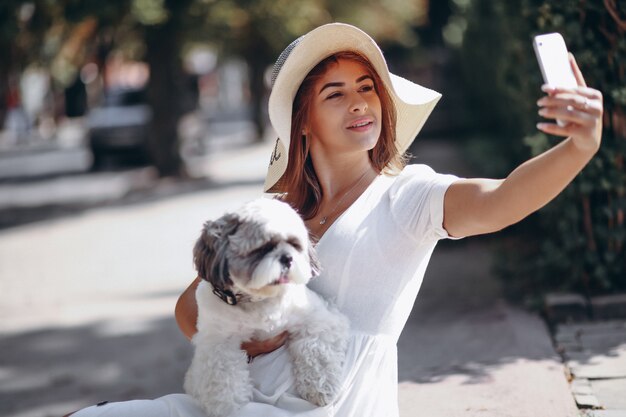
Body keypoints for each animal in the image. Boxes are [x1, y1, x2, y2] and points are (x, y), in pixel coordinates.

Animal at [184, 197, 352, 416]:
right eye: (262, 248)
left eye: (294, 244)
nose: (287, 258)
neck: (259, 300)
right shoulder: (217, 341)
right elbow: (222, 375)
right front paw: (227, 406)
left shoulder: (318, 318)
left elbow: (315, 349)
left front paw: (321, 387)